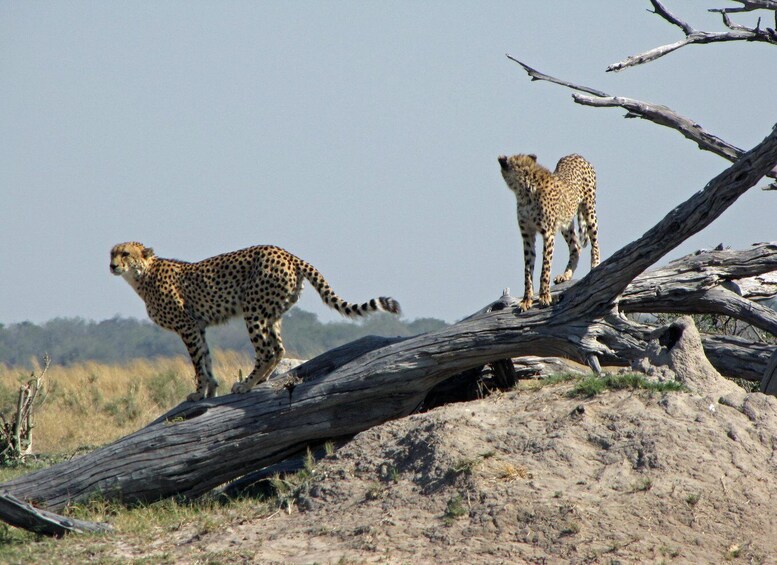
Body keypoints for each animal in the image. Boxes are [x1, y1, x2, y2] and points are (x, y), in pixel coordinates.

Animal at [109, 242, 400, 400]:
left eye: (125, 254)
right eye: (112, 253)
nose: (112, 266)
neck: (142, 275)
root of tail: (289, 254)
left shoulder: (187, 326)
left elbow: (198, 364)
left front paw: (199, 392)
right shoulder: (198, 327)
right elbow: (206, 359)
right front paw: (210, 391)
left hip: (253, 310)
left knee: (266, 350)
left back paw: (246, 384)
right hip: (272, 313)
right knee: (279, 348)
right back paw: (261, 380)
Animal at [498, 152, 600, 310]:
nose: (501, 159)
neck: (524, 192)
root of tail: (575, 154)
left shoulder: (548, 233)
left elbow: (545, 268)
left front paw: (544, 296)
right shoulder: (527, 235)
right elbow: (527, 270)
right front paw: (526, 299)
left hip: (589, 209)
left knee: (595, 241)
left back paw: (595, 265)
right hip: (566, 223)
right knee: (575, 247)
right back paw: (566, 275)